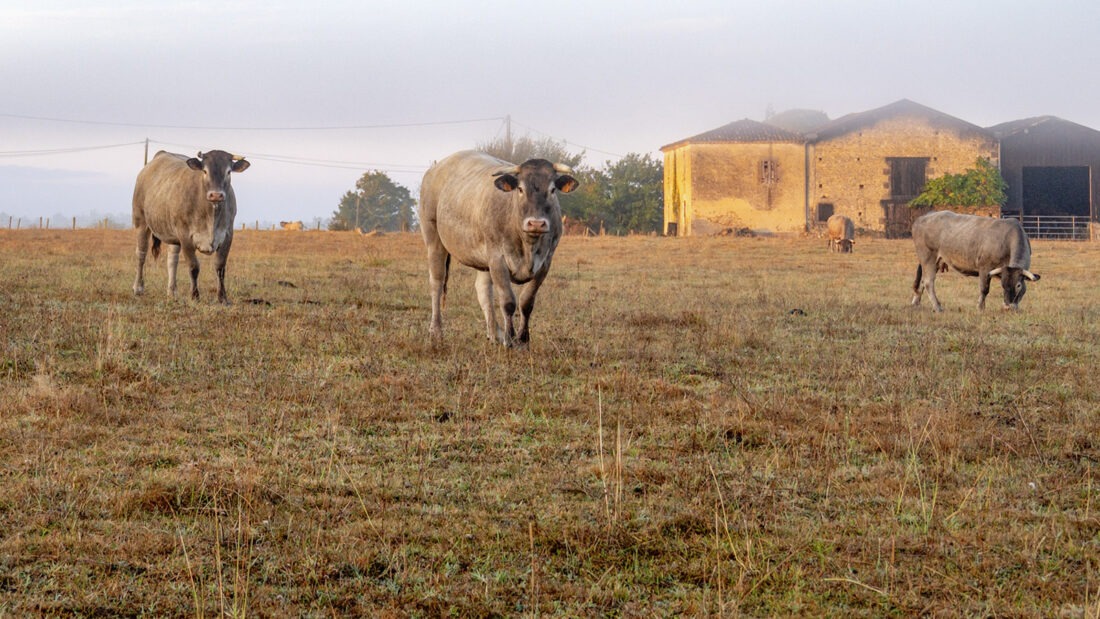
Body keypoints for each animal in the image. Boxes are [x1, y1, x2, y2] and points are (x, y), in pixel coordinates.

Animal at [130, 150, 249, 305]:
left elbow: (220, 267)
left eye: (228, 172)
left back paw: (172, 291)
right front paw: (195, 296)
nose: (216, 195)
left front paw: (222, 297)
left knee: (172, 260)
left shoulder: (228, 235)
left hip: (173, 235)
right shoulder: (185, 236)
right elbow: (193, 266)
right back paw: (138, 288)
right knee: (141, 254)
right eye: (205, 171)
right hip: (141, 221)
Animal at [415, 147, 580, 347]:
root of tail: (436, 167)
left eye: (553, 189)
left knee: (483, 290)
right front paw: (510, 339)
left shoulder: (545, 263)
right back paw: (436, 330)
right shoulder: (498, 260)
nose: (536, 223)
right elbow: (508, 302)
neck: (528, 247)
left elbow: (526, 302)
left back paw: (494, 334)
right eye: (520, 189)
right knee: (436, 283)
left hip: (484, 259)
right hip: (434, 239)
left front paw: (523, 339)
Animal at [910, 211, 1038, 312]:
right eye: (1003, 284)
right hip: (928, 257)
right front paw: (980, 308)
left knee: (922, 281)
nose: (1008, 307)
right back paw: (937, 307)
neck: (1007, 239)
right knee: (928, 282)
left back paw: (916, 303)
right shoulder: (985, 268)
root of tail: (923, 217)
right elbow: (984, 289)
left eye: (1018, 285)